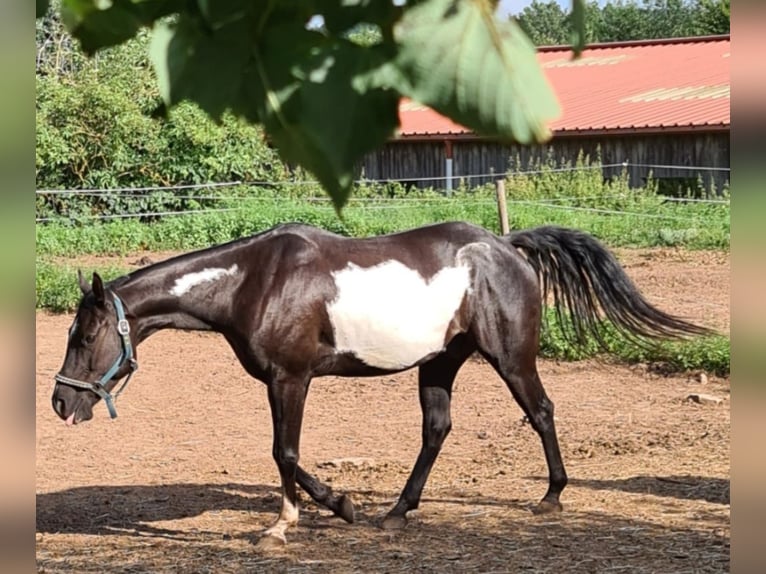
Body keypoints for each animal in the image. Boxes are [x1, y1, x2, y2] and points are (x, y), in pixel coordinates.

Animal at [51, 221, 712, 549]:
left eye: (85, 335)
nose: (60, 401)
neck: (254, 281)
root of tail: (506, 246)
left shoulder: (290, 379)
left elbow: (284, 452)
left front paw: (299, 520)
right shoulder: (281, 381)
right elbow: (284, 454)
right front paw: (332, 509)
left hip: (509, 357)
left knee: (542, 410)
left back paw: (550, 496)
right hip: (439, 363)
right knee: (437, 430)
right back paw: (396, 512)